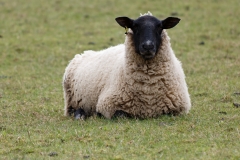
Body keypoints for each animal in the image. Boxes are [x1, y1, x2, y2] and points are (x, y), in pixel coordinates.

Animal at [63, 11, 191, 119]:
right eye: (135, 26)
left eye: (160, 27)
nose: (148, 46)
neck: (148, 90)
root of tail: (84, 53)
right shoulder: (107, 105)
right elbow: (120, 115)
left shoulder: (178, 108)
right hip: (71, 101)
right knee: (74, 110)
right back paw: (80, 115)